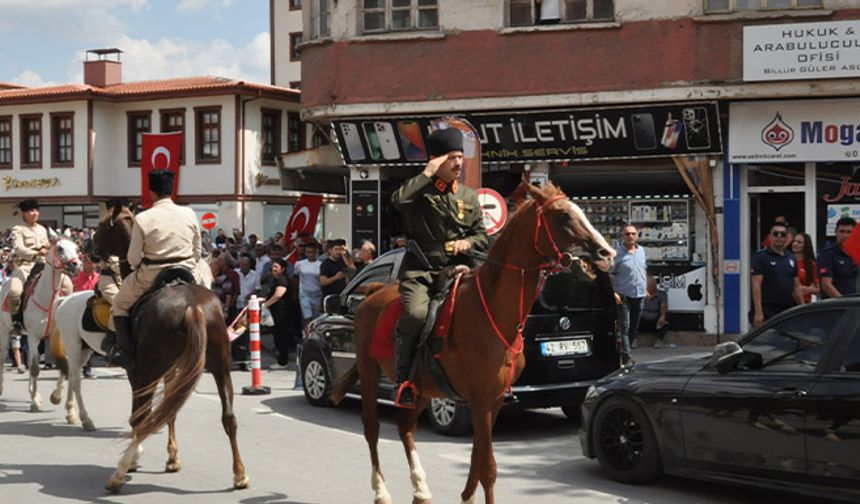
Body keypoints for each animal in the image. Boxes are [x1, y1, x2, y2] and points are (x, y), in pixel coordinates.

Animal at [0, 235, 80, 410]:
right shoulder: (34, 336)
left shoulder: (56, 337)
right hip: (4, 332)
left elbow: (63, 364)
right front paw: (35, 402)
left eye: (77, 248)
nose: (77, 265)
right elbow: (36, 368)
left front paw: (55, 396)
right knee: (3, 358)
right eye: (60, 248)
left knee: (29, 362)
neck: (48, 299)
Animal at [94, 204, 249, 492]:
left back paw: (118, 474)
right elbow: (170, 412)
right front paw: (172, 458)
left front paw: (135, 459)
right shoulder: (174, 371)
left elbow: (142, 415)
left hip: (149, 370)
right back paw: (240, 474)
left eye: (100, 226)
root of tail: (193, 307)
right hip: (221, 368)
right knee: (229, 418)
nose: (89, 248)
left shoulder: (138, 373)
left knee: (144, 417)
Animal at [326, 182, 616, 504]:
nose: (607, 252)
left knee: (405, 427)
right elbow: (487, 468)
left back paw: (420, 488)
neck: (493, 309)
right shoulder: (479, 401)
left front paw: (467, 496)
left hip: (423, 387)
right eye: (563, 215)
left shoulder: (494, 401)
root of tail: (369, 294)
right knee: (372, 429)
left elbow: (478, 463)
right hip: (369, 373)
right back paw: (381, 491)